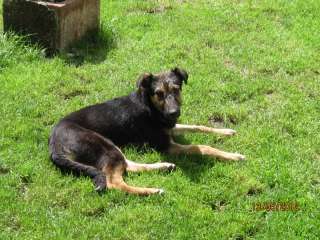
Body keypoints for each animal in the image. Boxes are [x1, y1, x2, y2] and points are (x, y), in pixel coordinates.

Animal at [48, 67, 245, 195]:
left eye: (176, 89)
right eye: (158, 93)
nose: (174, 113)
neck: (150, 107)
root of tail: (53, 144)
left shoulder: (171, 128)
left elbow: (198, 126)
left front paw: (226, 131)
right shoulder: (167, 146)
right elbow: (202, 147)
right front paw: (233, 156)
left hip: (111, 147)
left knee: (127, 165)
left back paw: (163, 166)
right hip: (102, 144)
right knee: (115, 182)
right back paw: (152, 190)